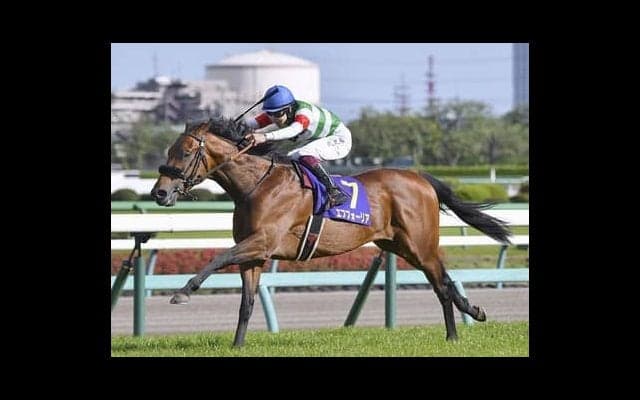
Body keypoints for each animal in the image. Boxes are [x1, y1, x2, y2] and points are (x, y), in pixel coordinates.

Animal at [150, 117, 512, 347]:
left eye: (185, 152)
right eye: (168, 151)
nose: (159, 193)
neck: (257, 185)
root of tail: (420, 177)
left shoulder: (262, 242)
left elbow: (218, 257)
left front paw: (183, 292)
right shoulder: (255, 255)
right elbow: (247, 303)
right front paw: (237, 346)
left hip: (420, 245)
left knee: (442, 285)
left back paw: (455, 333)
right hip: (399, 245)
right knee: (445, 282)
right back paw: (470, 316)